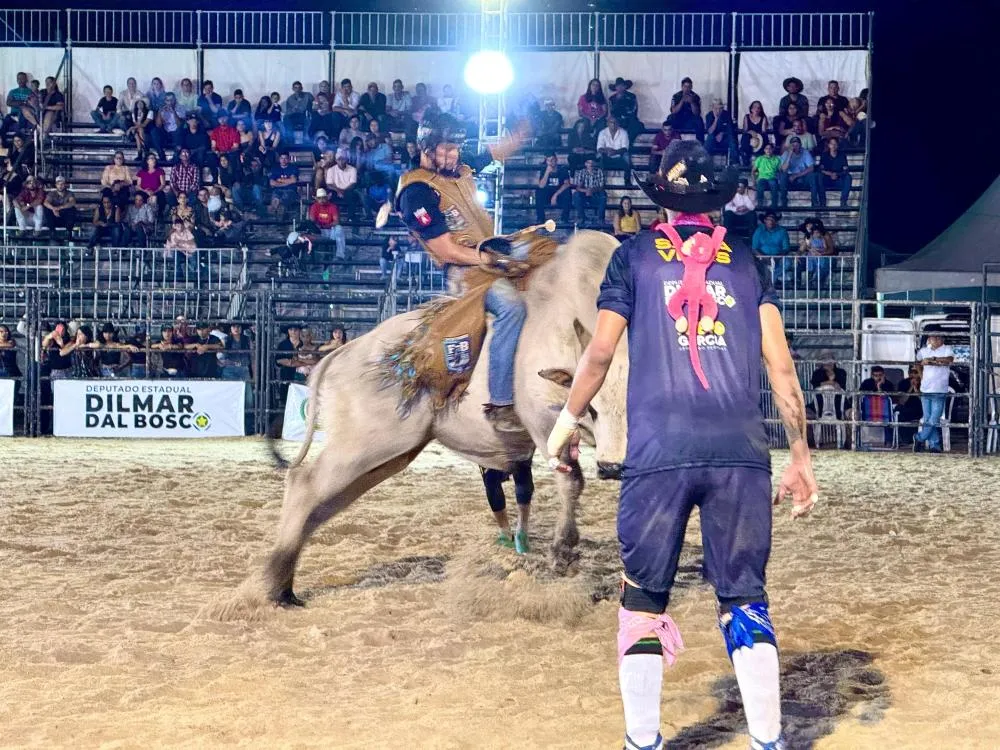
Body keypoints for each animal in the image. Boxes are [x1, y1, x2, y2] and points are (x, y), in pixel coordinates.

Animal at [251, 230, 628, 606]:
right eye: (592, 407)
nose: (612, 468)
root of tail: (344, 352)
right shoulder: (543, 418)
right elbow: (571, 478)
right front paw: (563, 550)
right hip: (364, 443)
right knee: (305, 484)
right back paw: (277, 584)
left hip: (388, 455)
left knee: (322, 504)